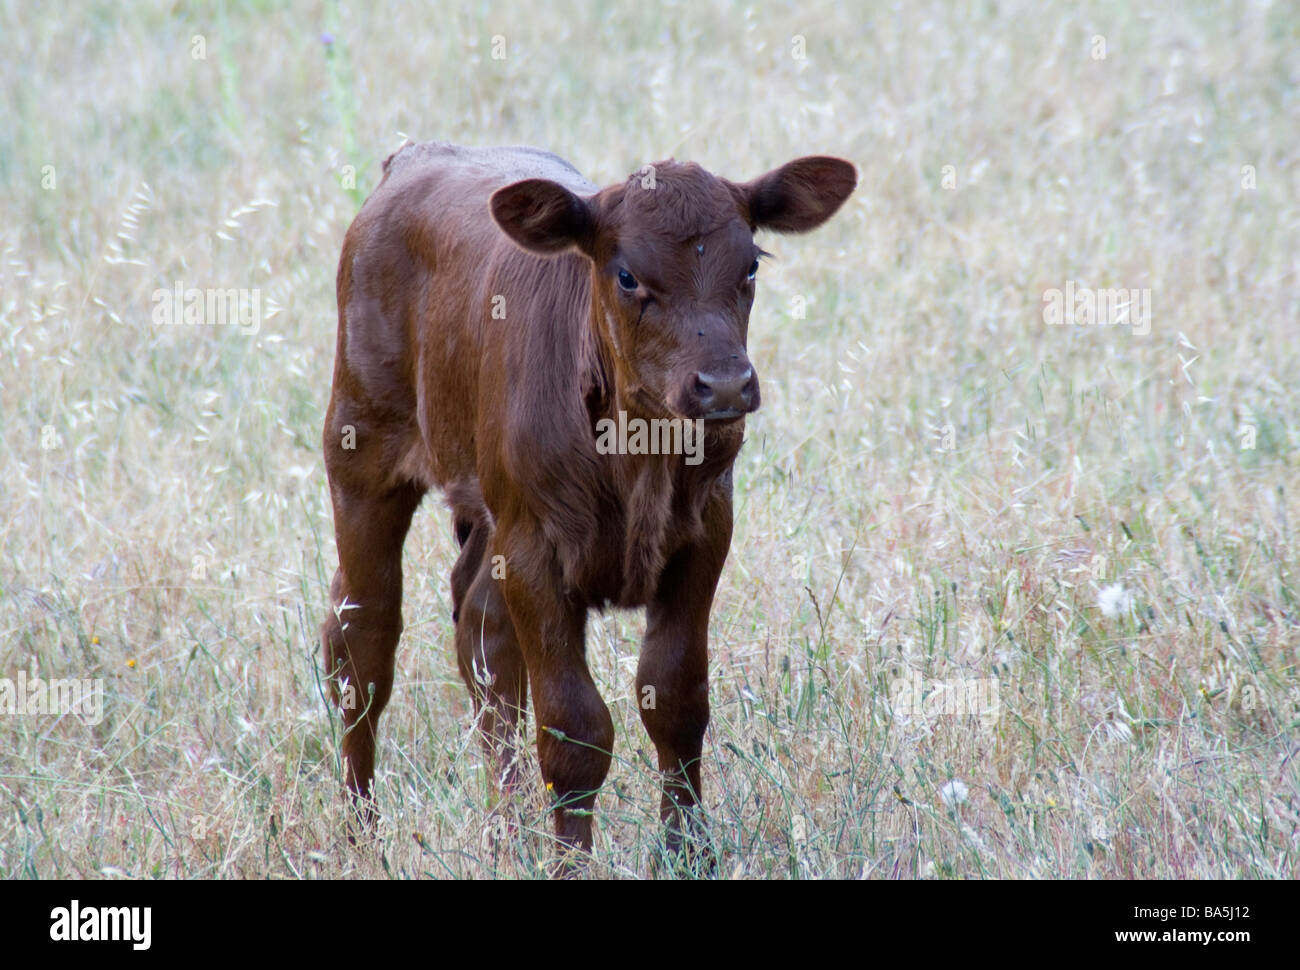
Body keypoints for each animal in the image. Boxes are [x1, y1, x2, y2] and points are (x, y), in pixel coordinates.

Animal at [320, 140, 855, 869]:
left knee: (481, 632)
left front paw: (687, 853)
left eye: (750, 264)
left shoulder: (705, 534)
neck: (638, 454)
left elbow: (676, 701)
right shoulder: (535, 548)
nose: (723, 385)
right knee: (362, 640)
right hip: (362, 446)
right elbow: (575, 730)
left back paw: (508, 833)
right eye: (626, 275)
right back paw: (361, 837)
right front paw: (571, 864)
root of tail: (416, 156)